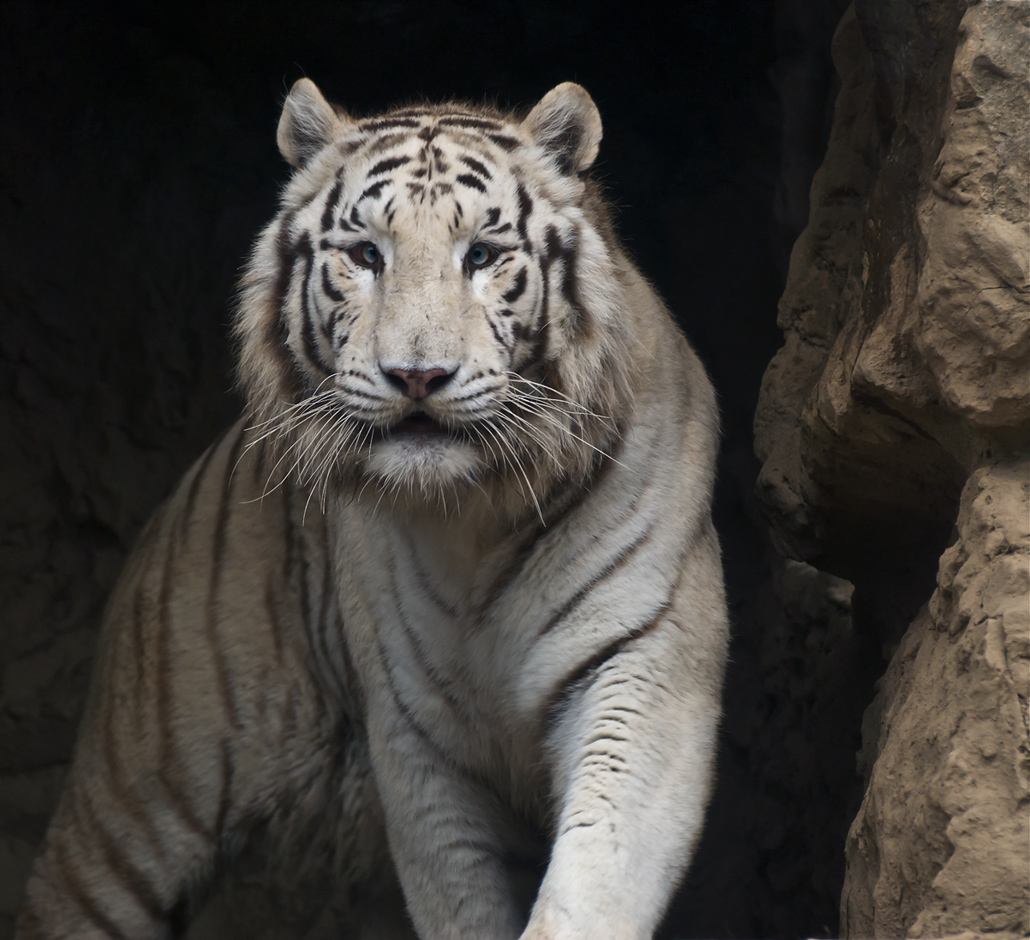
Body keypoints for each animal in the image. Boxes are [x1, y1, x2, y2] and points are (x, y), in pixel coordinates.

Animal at [17, 79, 729, 940]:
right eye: (366, 255)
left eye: (481, 255)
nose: (417, 375)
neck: (477, 519)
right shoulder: (418, 742)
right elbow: (459, 902)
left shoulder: (640, 671)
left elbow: (592, 880)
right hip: (147, 783)